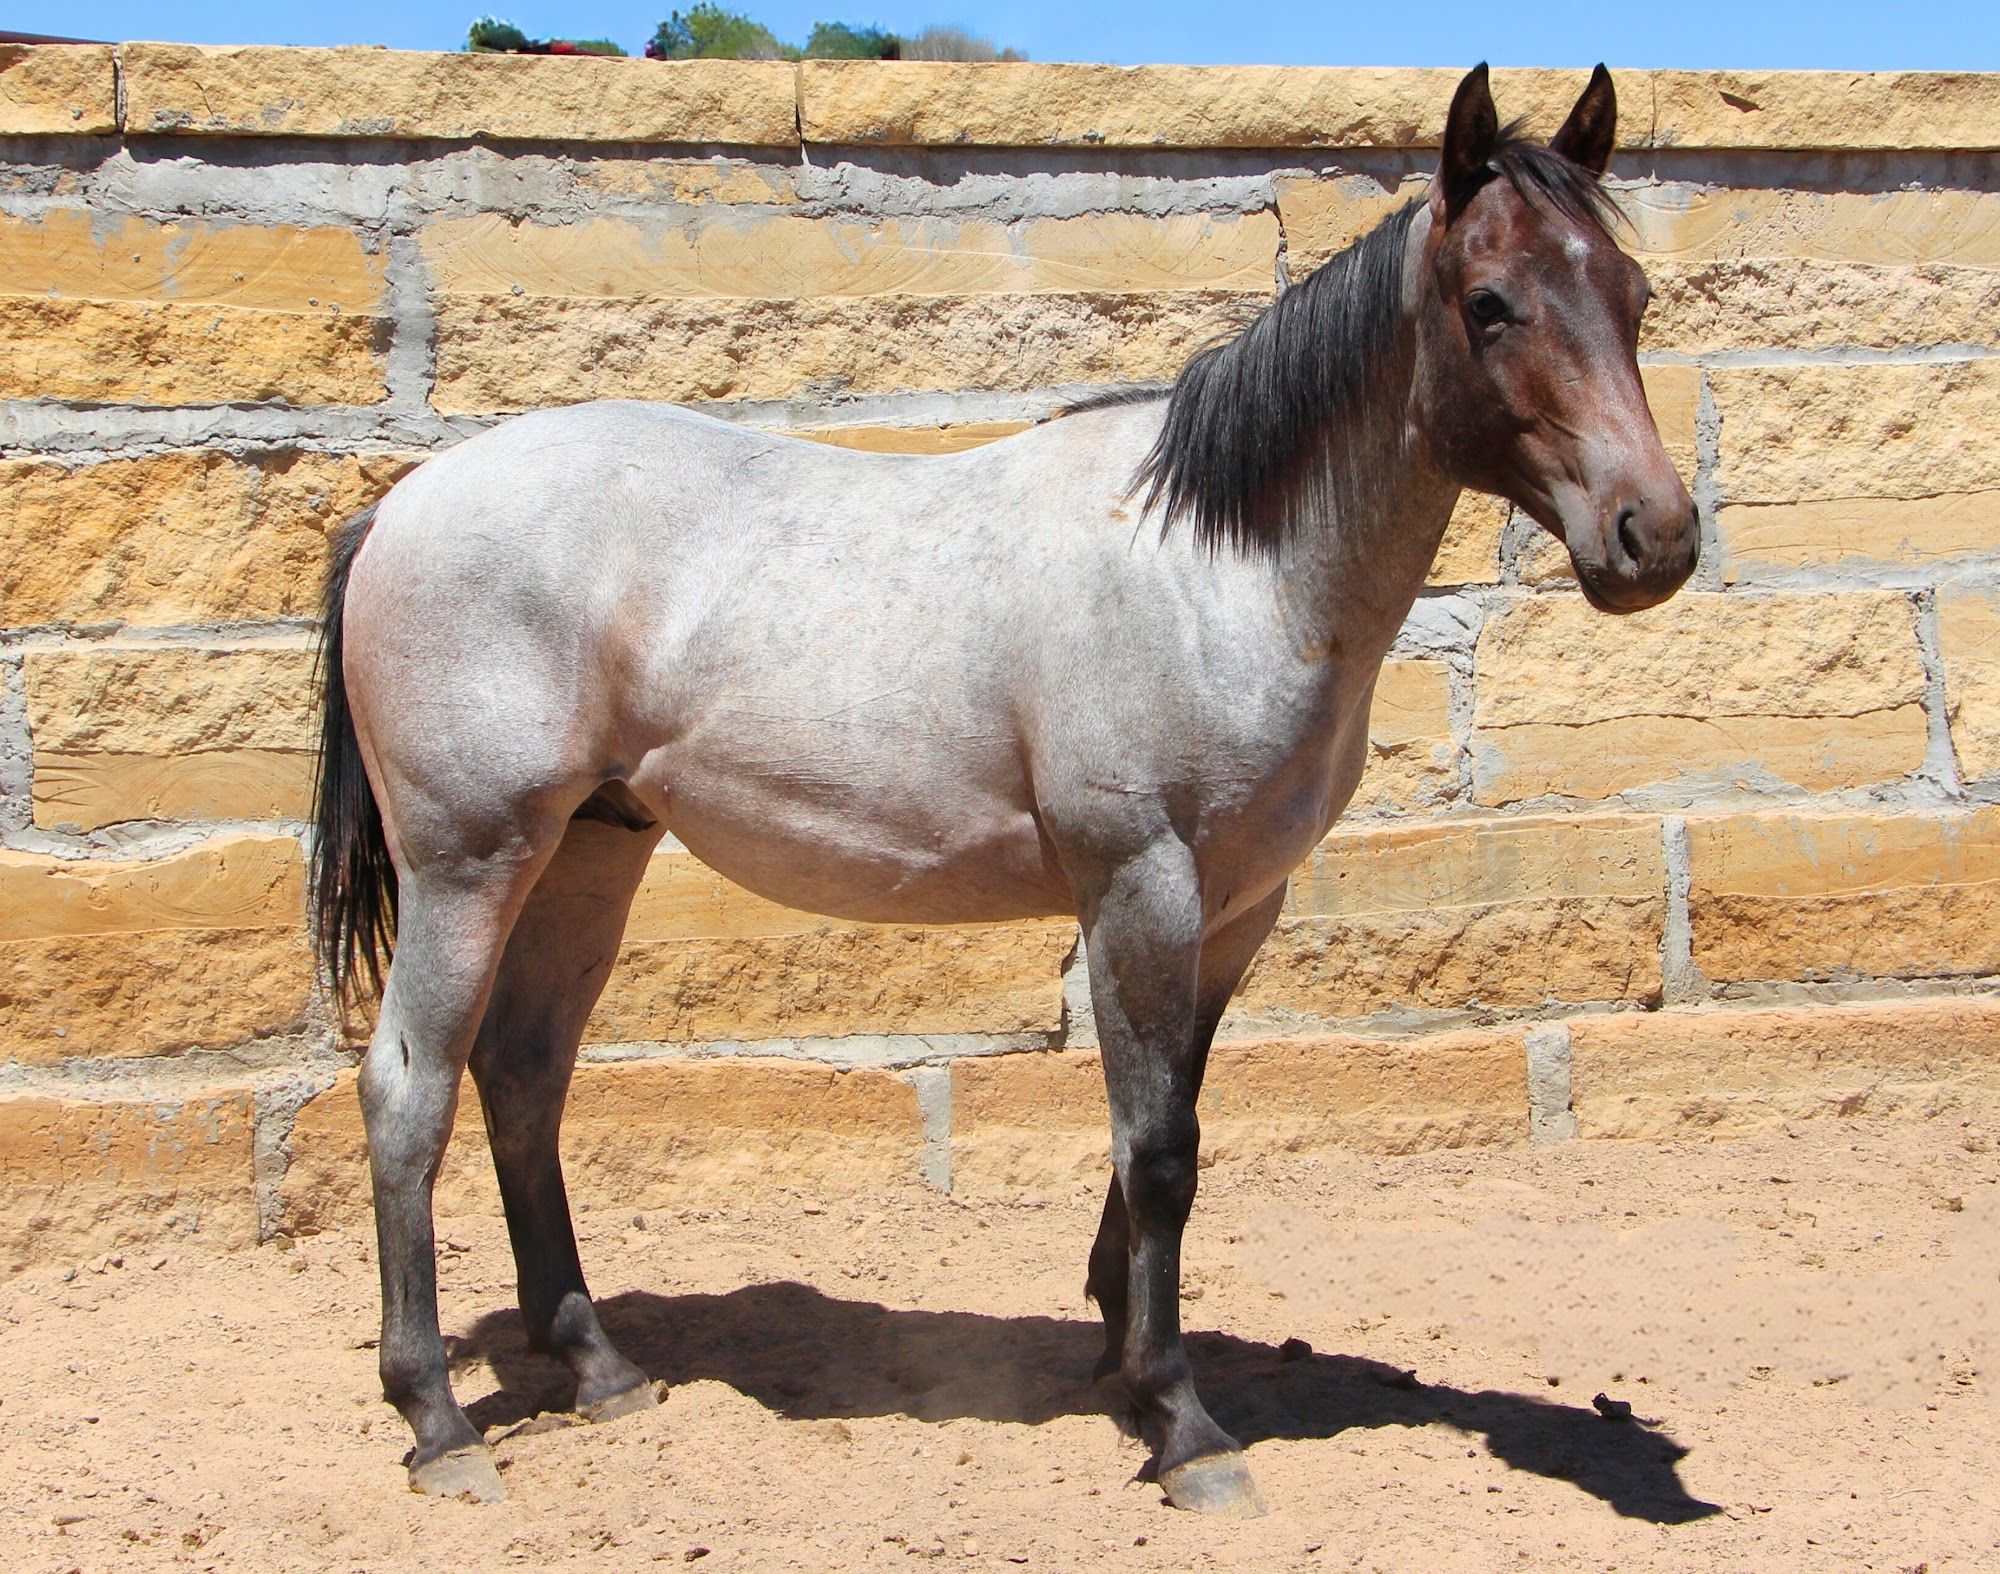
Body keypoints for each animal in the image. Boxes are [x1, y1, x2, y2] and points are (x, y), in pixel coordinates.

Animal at [310, 63, 1697, 1516]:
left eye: (1632, 295)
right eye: (1491, 303)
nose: (1654, 536)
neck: (1216, 568)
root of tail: (403, 502)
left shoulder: (1232, 907)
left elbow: (1170, 1119)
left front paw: (1124, 1354)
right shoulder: (1140, 882)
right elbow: (1158, 1144)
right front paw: (1183, 1422)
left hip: (589, 848)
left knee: (523, 1073)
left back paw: (596, 1365)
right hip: (470, 862)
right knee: (408, 1090)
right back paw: (437, 1420)